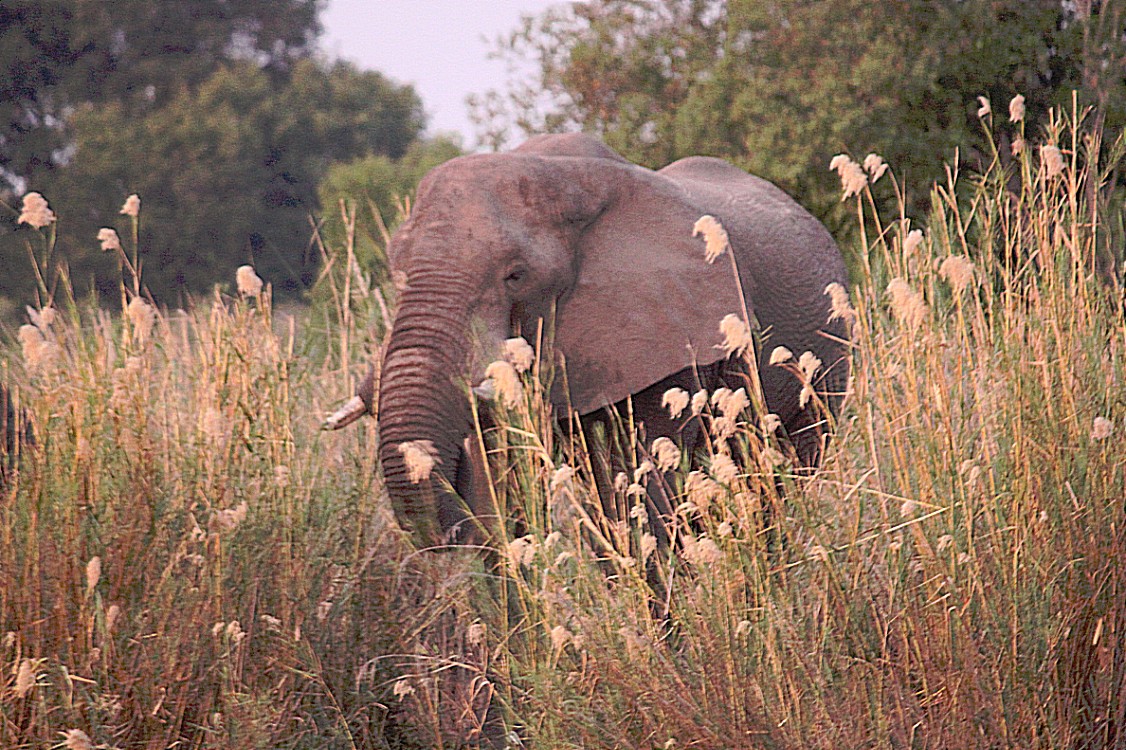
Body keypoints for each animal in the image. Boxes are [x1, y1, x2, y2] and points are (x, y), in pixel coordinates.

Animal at [328, 132, 846, 542]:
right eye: (397, 268)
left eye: (516, 275)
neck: (562, 174)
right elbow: (506, 483)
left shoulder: (665, 334)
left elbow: (643, 485)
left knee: (780, 480)